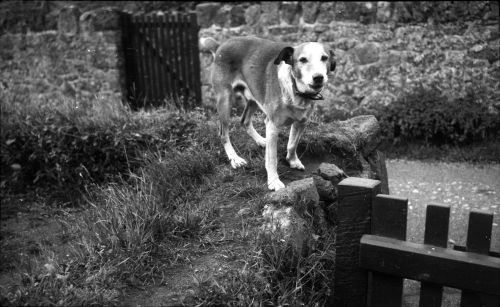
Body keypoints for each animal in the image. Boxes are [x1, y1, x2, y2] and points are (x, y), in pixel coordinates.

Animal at [202, 36, 336, 190]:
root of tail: (220, 45)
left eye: (324, 58)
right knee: (223, 134)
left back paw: (260, 141)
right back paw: (235, 159)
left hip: (254, 97)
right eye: (302, 60)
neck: (295, 91)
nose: (318, 77)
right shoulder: (272, 126)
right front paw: (273, 181)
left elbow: (292, 144)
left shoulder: (301, 122)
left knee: (244, 120)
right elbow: (272, 159)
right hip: (225, 101)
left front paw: (292, 161)